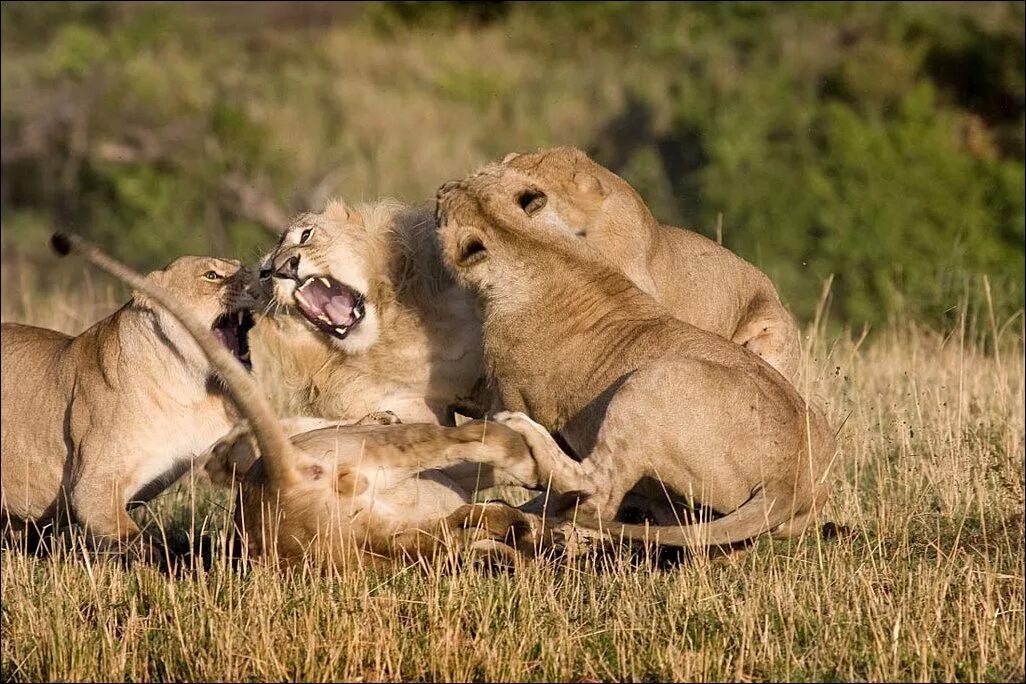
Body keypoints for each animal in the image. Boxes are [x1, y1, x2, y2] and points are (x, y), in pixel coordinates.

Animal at [1, 251, 255, 545]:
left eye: (242, 267)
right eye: (211, 275)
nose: (260, 275)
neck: (191, 390)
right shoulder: (92, 490)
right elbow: (141, 545)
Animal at [52, 232, 578, 570]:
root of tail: (280, 491)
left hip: (407, 530)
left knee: (477, 521)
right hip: (381, 453)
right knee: (472, 447)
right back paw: (536, 474)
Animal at [432, 174, 833, 549]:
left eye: (443, 212)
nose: (441, 189)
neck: (528, 244)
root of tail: (792, 482)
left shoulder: (509, 391)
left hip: (655, 378)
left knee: (600, 494)